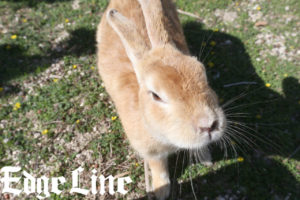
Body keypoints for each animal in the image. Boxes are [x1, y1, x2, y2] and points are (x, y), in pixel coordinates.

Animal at [97, 0, 226, 199]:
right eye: (156, 95)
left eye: (202, 72)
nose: (208, 125)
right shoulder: (151, 153)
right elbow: (159, 168)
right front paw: (162, 191)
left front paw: (206, 159)